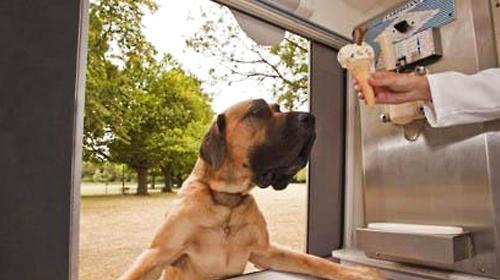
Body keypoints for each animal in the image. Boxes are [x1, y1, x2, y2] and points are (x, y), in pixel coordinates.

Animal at [119, 99, 384, 280]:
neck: (226, 202)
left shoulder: (265, 251)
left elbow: (312, 261)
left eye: (278, 107)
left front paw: (359, 273)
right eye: (257, 111)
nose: (310, 118)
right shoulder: (157, 254)